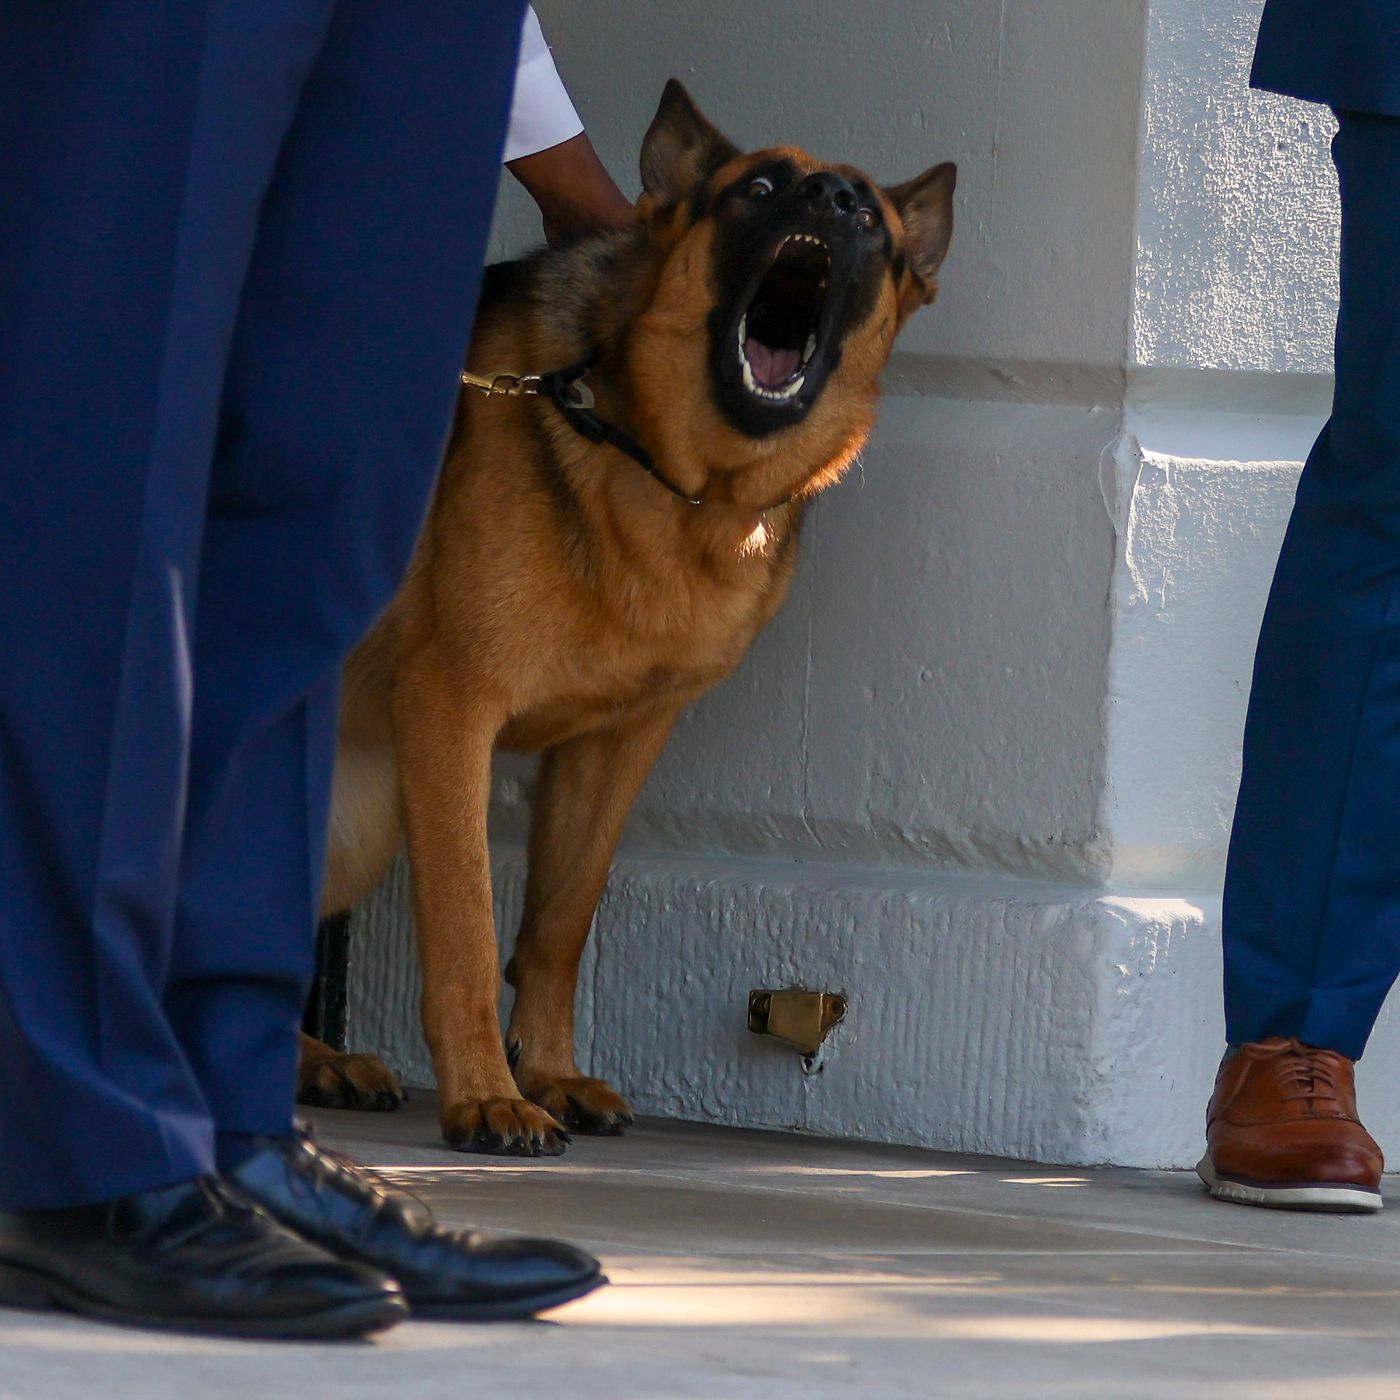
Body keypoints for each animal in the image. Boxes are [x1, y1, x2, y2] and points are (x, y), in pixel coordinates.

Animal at [301, 81, 957, 1153]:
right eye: (757, 189)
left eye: (866, 216)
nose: (823, 198)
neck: (678, 480)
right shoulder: (450, 714)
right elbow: (470, 926)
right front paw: (487, 1094)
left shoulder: (618, 746)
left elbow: (560, 922)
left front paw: (550, 1073)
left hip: (357, 819)